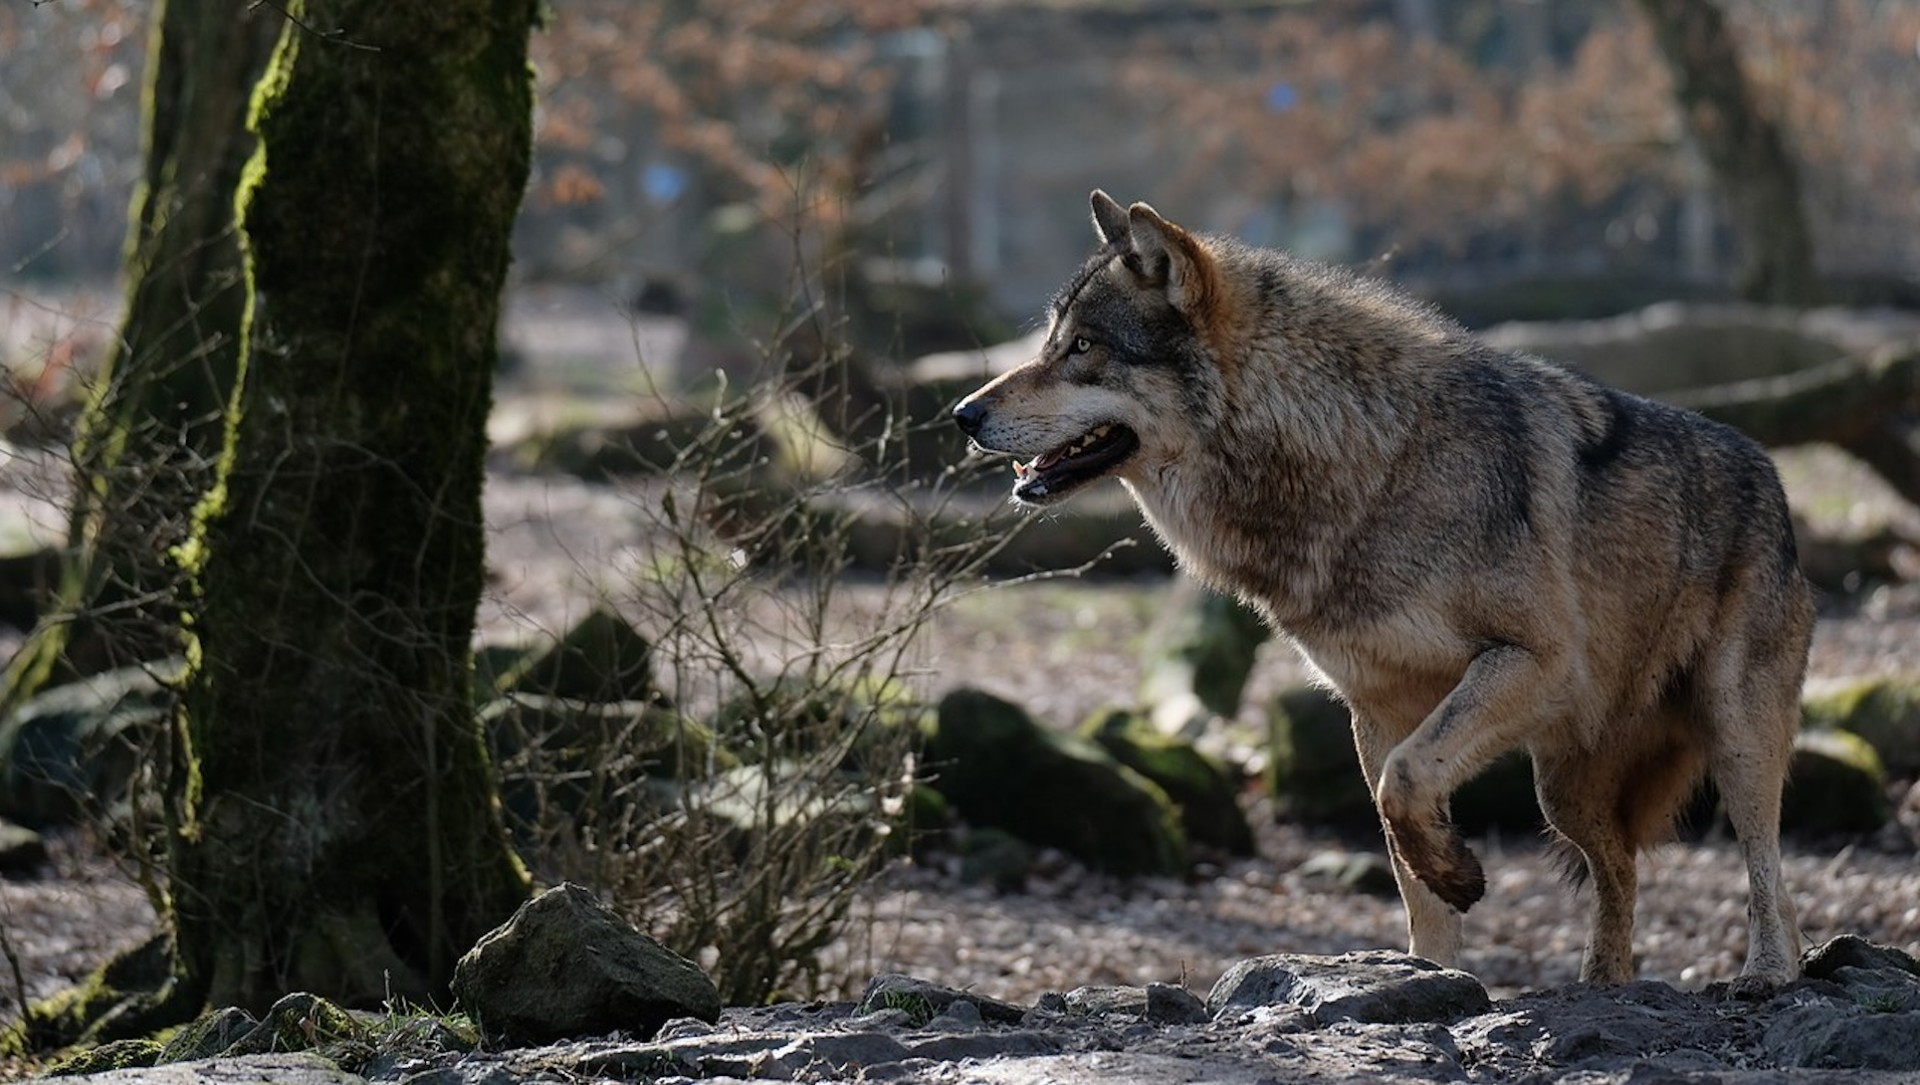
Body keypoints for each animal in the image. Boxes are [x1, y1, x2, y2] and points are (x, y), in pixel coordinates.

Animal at [960, 190, 1812, 983]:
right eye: (1051, 342)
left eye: (1083, 347)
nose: (964, 412)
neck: (1366, 461)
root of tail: (1772, 476)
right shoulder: (1377, 709)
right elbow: (1400, 833)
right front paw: (1433, 969)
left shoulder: (1533, 662)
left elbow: (1407, 784)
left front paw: (1457, 877)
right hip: (1563, 788)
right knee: (1623, 873)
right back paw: (1605, 983)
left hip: (1732, 733)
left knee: (1768, 867)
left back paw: (1767, 974)